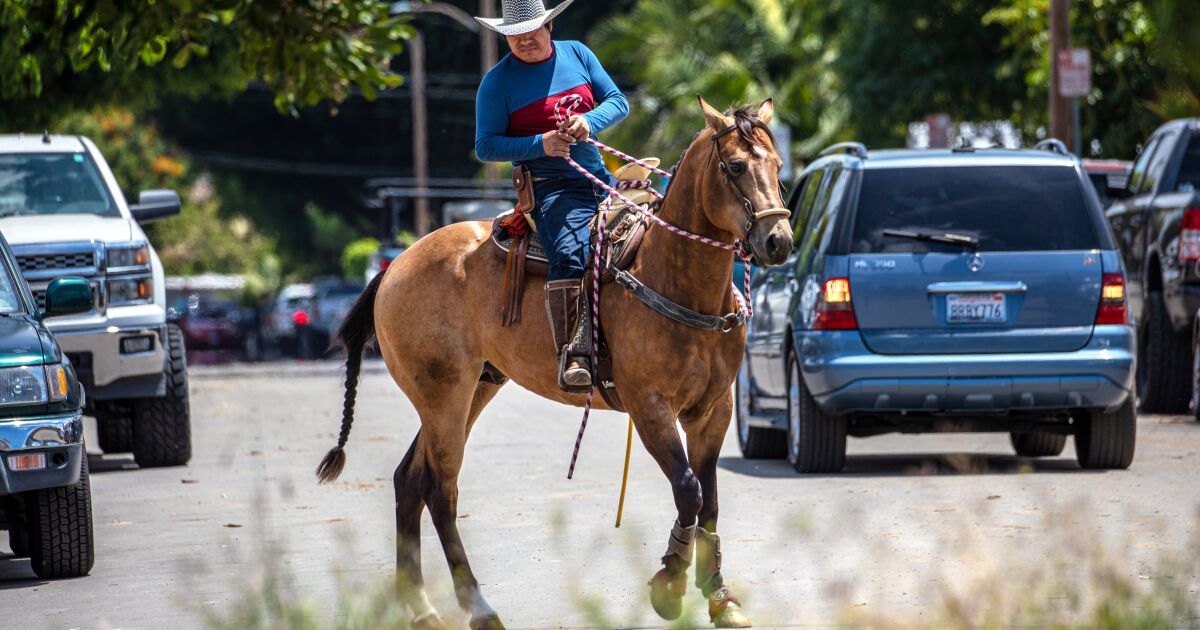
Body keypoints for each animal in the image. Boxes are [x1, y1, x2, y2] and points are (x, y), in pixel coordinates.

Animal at [316, 96, 796, 624]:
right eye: (735, 166)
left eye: (778, 166)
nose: (779, 241)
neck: (673, 275)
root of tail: (395, 266)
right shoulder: (650, 407)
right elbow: (688, 489)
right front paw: (669, 584)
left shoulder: (713, 410)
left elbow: (708, 499)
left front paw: (719, 596)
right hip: (444, 396)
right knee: (441, 489)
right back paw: (479, 607)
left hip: (472, 389)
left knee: (410, 480)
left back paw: (422, 609)